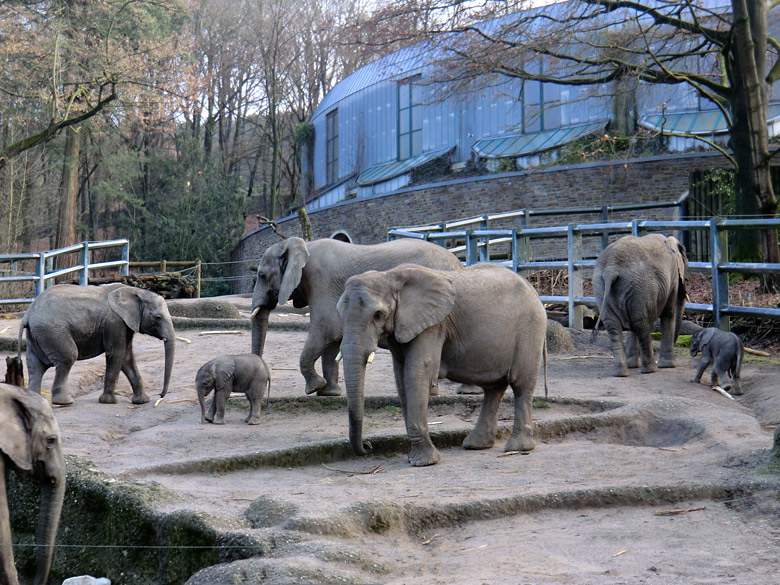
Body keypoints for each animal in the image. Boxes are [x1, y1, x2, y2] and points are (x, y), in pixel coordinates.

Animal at [17, 284, 177, 406]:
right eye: (158, 318)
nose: (160, 395)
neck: (136, 291)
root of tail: (28, 313)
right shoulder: (114, 322)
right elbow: (116, 354)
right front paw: (109, 402)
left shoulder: (126, 324)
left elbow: (127, 357)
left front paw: (142, 401)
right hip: (52, 331)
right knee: (68, 357)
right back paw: (64, 402)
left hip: (37, 333)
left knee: (35, 365)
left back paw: (35, 401)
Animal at [248, 237, 464, 396]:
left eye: (262, 276)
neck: (302, 245)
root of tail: (458, 264)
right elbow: (333, 339)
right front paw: (329, 393)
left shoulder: (320, 281)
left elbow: (325, 330)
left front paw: (315, 388)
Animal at [336, 262, 548, 468]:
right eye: (340, 314)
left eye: (378, 315)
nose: (367, 446)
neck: (389, 276)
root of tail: (534, 290)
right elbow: (401, 378)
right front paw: (414, 458)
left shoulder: (432, 326)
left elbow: (417, 373)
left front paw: (423, 462)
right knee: (494, 389)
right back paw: (476, 445)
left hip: (531, 329)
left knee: (521, 386)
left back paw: (518, 448)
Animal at [596, 234, 684, 378]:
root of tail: (611, 269)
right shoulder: (673, 278)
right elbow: (669, 313)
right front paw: (669, 366)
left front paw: (633, 366)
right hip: (640, 286)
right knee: (640, 323)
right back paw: (651, 369)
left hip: (603, 285)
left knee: (613, 325)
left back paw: (621, 373)